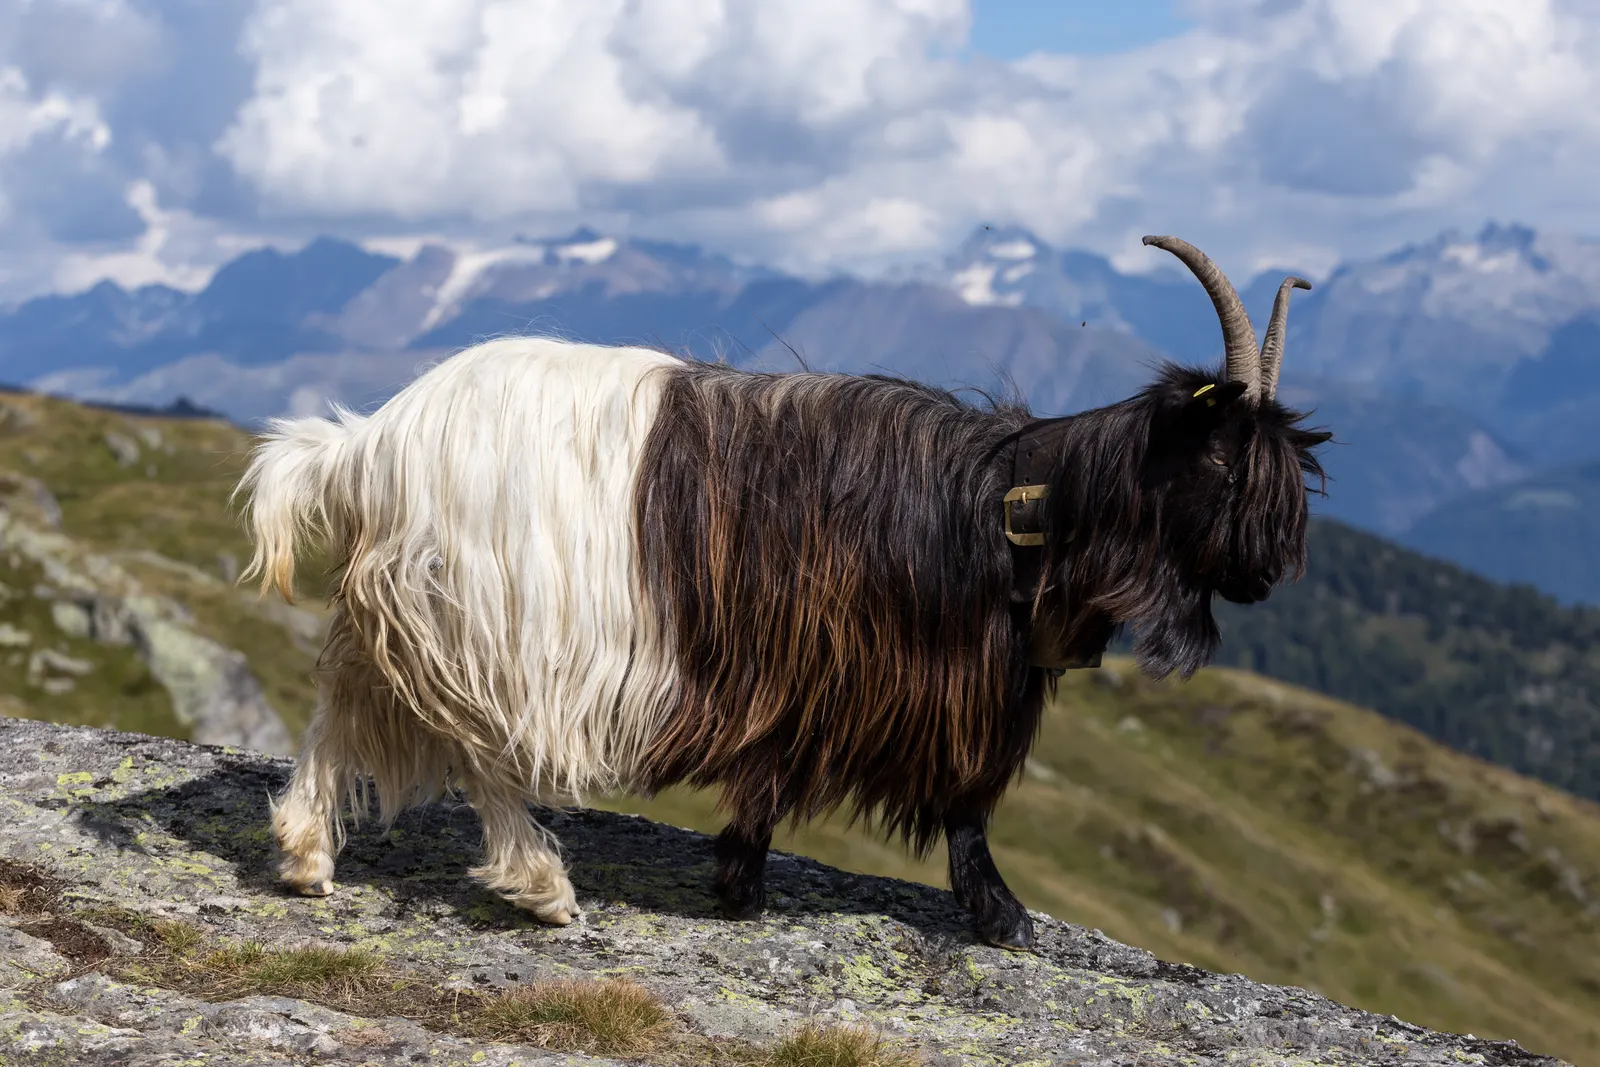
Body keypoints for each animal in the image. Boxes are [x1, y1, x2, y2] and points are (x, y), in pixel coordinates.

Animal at [236, 235, 1331, 950]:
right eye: (1225, 462)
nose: (1262, 574)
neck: (1012, 506)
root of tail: (370, 443)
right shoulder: (902, 680)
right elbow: (964, 802)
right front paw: (999, 913)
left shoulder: (823, 676)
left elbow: (784, 779)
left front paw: (738, 878)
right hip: (486, 617)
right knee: (476, 751)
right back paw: (540, 882)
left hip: (400, 611)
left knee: (343, 708)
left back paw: (305, 855)